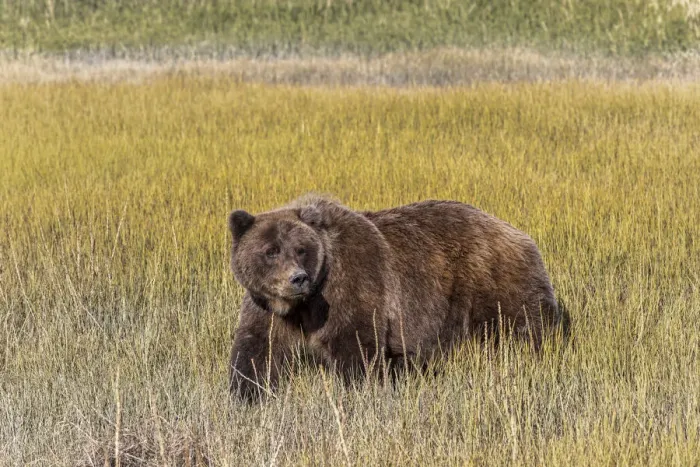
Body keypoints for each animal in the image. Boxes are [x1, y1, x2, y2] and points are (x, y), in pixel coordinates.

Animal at [227, 194, 564, 400]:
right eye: (270, 250)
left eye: (301, 249)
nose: (297, 278)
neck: (303, 304)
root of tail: (517, 231)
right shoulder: (268, 307)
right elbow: (257, 348)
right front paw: (246, 394)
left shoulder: (351, 286)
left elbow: (356, 346)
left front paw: (361, 391)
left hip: (494, 282)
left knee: (527, 326)